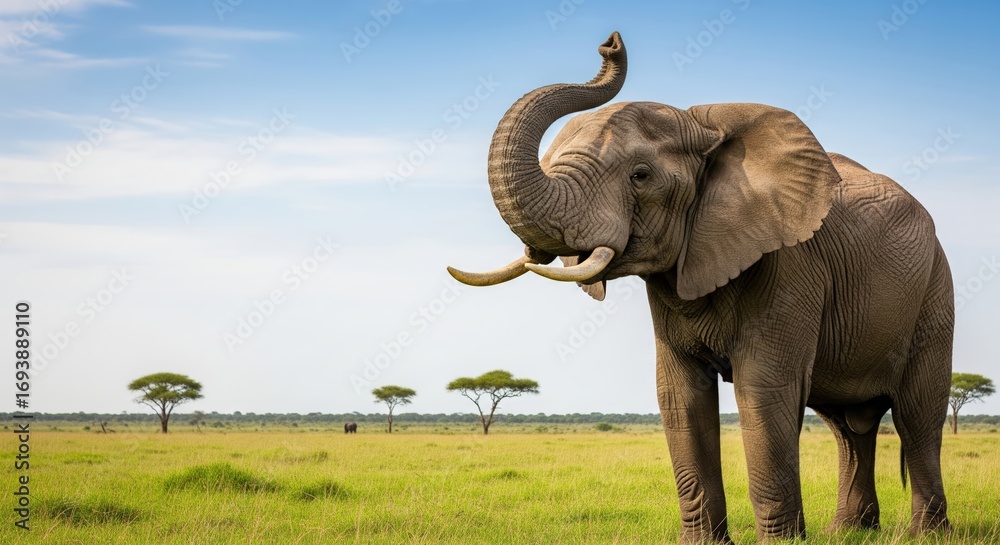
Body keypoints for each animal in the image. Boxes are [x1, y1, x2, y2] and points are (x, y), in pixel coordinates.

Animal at [447, 32, 953, 542]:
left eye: (640, 175)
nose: (610, 44)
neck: (702, 125)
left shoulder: (791, 265)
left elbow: (763, 388)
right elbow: (678, 395)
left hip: (935, 289)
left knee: (917, 415)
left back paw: (927, 534)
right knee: (848, 426)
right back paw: (849, 531)